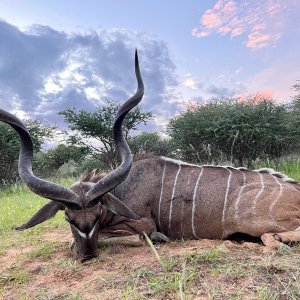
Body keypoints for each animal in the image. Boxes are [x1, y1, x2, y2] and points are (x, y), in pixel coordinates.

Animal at [2, 52, 300, 262]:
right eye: (67, 218)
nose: (86, 255)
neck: (120, 190)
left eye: (97, 214)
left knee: (273, 237)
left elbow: (135, 236)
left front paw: (158, 237)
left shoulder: (140, 225)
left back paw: (275, 241)